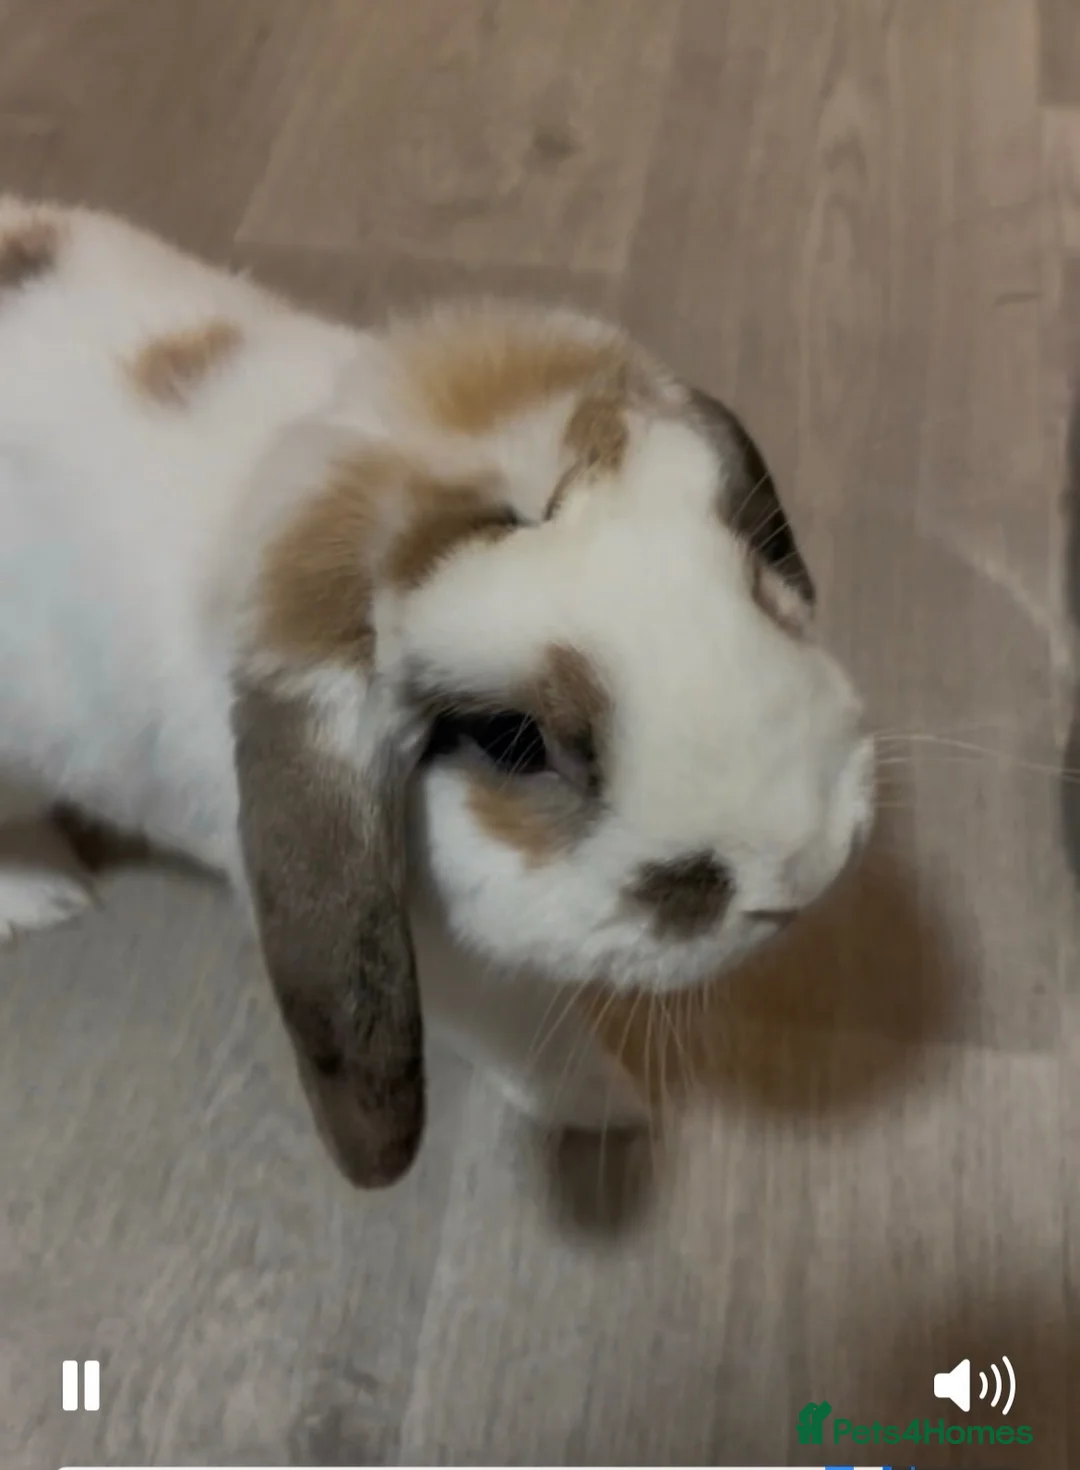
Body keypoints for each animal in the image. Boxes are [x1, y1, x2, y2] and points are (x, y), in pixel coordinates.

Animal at [0, 196, 874, 1188]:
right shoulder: (448, 960)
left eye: (758, 577)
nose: (810, 864)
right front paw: (612, 1108)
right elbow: (528, 1040)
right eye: (509, 739)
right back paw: (45, 895)